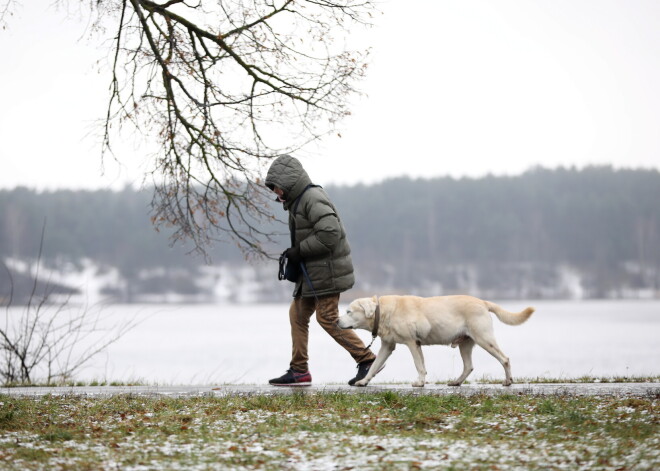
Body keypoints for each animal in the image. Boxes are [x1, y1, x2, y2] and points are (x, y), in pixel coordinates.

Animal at [338, 296, 532, 390]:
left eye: (348, 311)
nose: (336, 321)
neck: (384, 311)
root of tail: (483, 302)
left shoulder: (412, 342)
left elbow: (419, 365)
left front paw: (420, 383)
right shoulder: (387, 345)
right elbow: (374, 366)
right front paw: (363, 382)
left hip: (484, 338)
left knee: (504, 359)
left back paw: (508, 381)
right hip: (465, 343)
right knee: (468, 366)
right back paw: (456, 382)